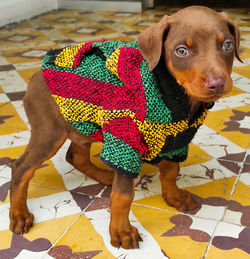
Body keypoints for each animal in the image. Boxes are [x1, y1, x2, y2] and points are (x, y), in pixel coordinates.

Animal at [8, 5, 241, 250]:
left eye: (227, 45)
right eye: (181, 51)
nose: (217, 83)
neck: (176, 98)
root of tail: (35, 75)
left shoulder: (178, 141)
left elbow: (171, 171)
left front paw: (173, 197)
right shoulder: (124, 141)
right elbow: (123, 196)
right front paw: (121, 231)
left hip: (85, 123)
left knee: (76, 156)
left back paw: (105, 176)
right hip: (49, 133)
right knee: (21, 167)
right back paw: (19, 214)